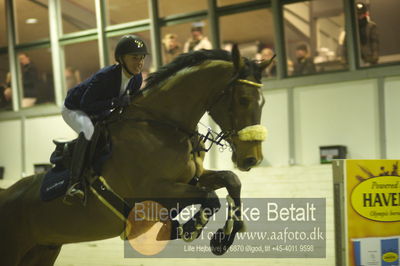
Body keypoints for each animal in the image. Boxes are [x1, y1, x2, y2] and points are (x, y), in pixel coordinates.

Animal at [0, 45, 268, 264]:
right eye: (243, 100)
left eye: (263, 102)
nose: (251, 158)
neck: (163, 126)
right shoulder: (152, 191)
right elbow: (210, 196)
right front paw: (190, 228)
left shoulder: (194, 178)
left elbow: (231, 180)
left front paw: (224, 237)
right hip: (13, 251)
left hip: (43, 250)